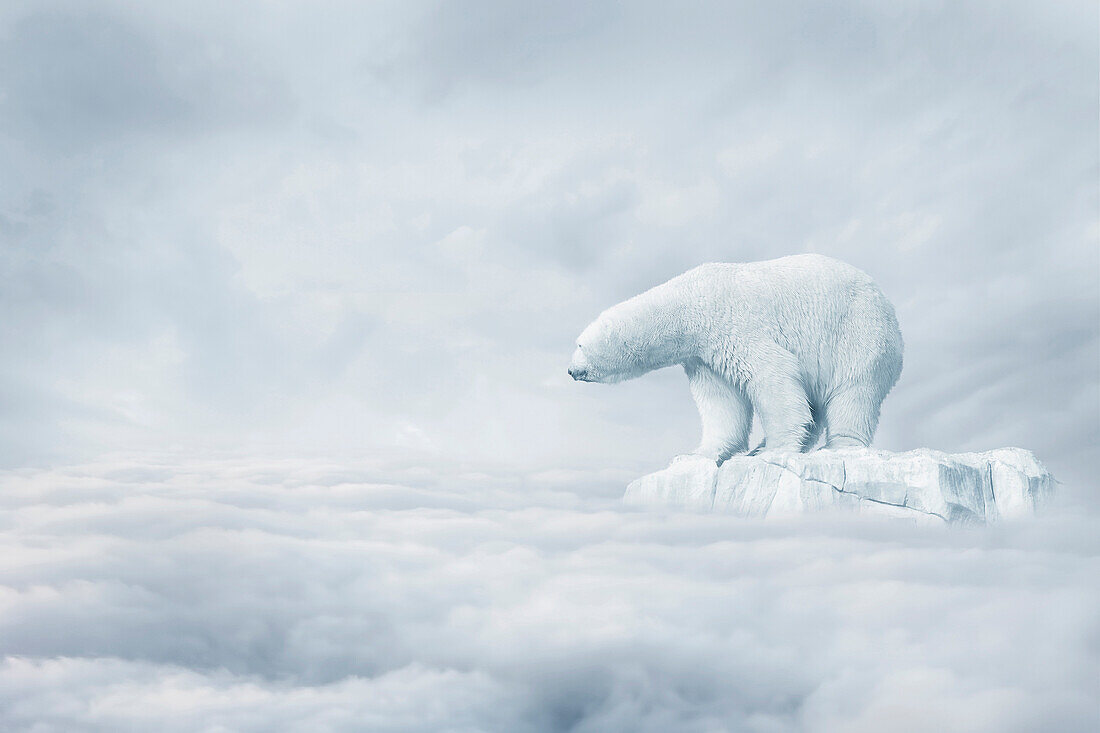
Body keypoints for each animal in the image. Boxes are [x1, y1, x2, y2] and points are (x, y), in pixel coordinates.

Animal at [567, 254, 902, 460]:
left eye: (579, 345)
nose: (570, 370)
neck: (688, 302)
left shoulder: (732, 323)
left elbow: (773, 374)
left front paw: (775, 450)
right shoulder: (703, 355)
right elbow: (722, 400)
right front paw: (700, 452)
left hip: (857, 335)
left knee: (852, 394)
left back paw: (838, 447)